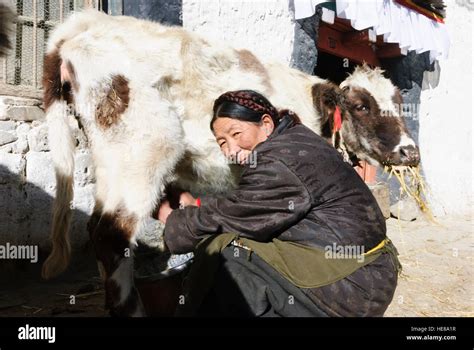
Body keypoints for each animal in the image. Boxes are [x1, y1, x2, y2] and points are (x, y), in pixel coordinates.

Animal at [39, 10, 418, 318]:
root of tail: (88, 22)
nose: (410, 152)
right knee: (109, 234)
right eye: (361, 106)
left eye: (401, 103)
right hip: (141, 153)